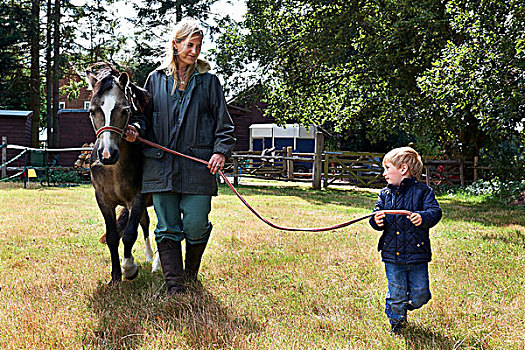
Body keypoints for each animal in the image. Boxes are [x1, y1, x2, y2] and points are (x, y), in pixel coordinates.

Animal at [84, 63, 157, 284]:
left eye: (125, 110)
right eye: (92, 111)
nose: (107, 154)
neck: (114, 170)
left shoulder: (137, 198)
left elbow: (129, 234)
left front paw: (129, 268)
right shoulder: (103, 200)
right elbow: (113, 236)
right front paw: (116, 275)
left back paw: (155, 262)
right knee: (145, 223)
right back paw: (149, 257)